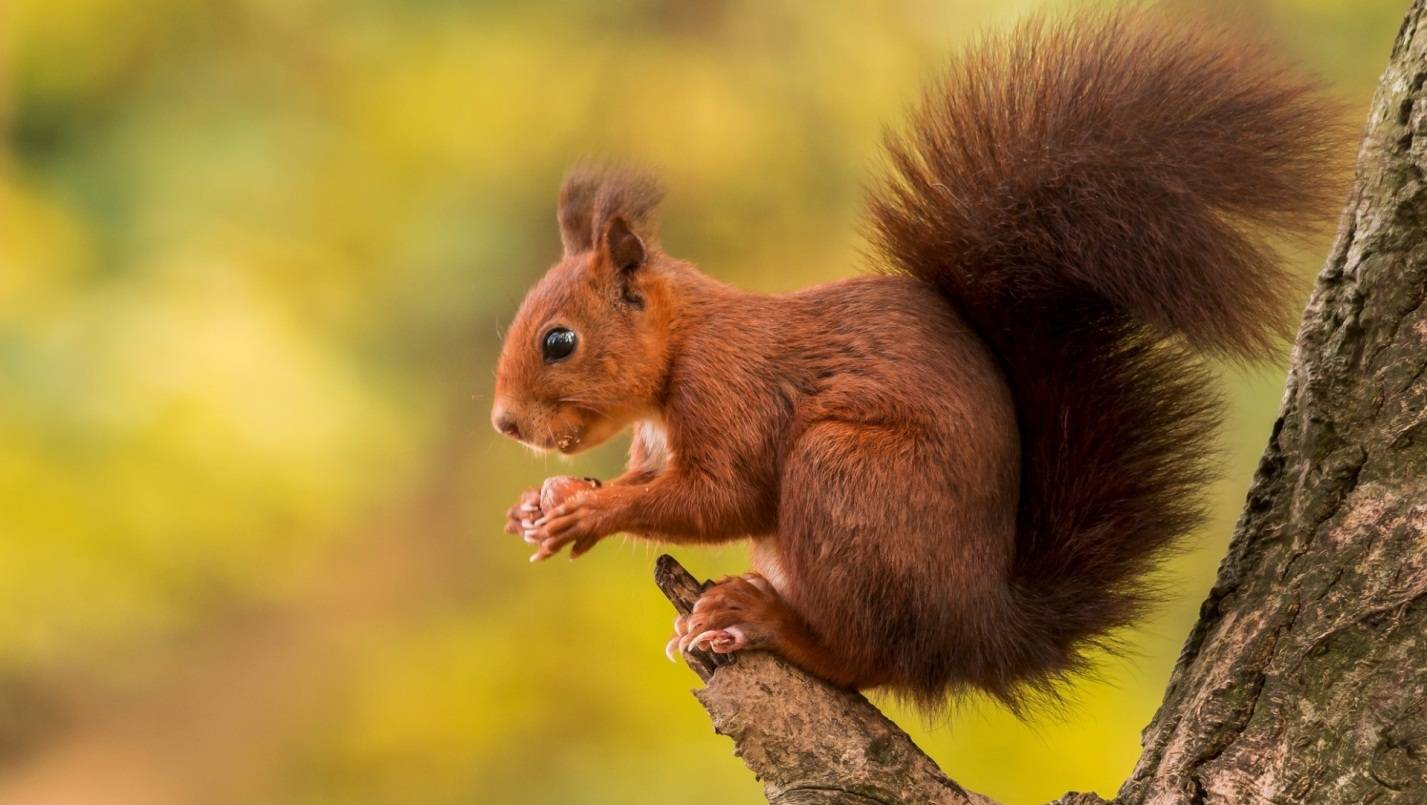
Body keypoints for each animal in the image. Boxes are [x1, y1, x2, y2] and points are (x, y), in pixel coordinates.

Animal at [490, 9, 1347, 707]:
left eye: (558, 340)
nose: (504, 424)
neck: (681, 347)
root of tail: (975, 630)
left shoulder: (731, 391)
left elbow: (720, 497)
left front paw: (587, 511)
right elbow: (650, 481)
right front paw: (547, 499)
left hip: (847, 477)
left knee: (865, 659)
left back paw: (765, 619)